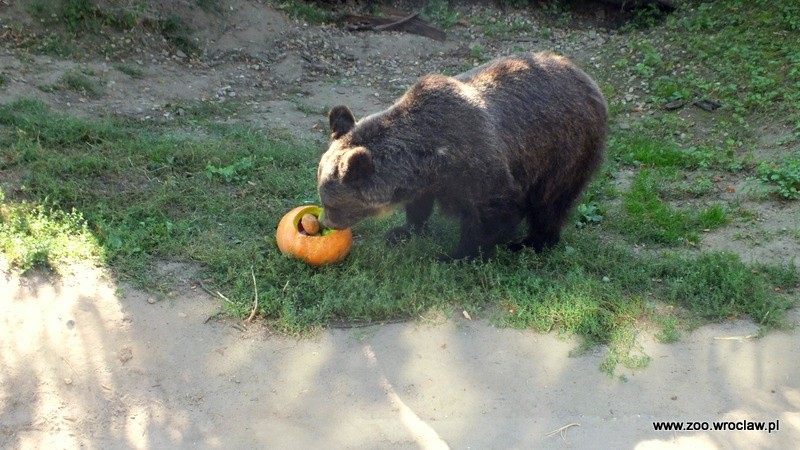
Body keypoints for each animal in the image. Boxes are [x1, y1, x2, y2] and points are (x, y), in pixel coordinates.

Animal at [316, 51, 608, 260]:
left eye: (333, 204)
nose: (326, 221)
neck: (432, 158)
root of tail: (588, 80)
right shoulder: (428, 180)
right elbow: (419, 206)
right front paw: (403, 231)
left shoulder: (477, 164)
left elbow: (497, 211)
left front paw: (457, 255)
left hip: (564, 150)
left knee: (550, 203)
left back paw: (530, 242)